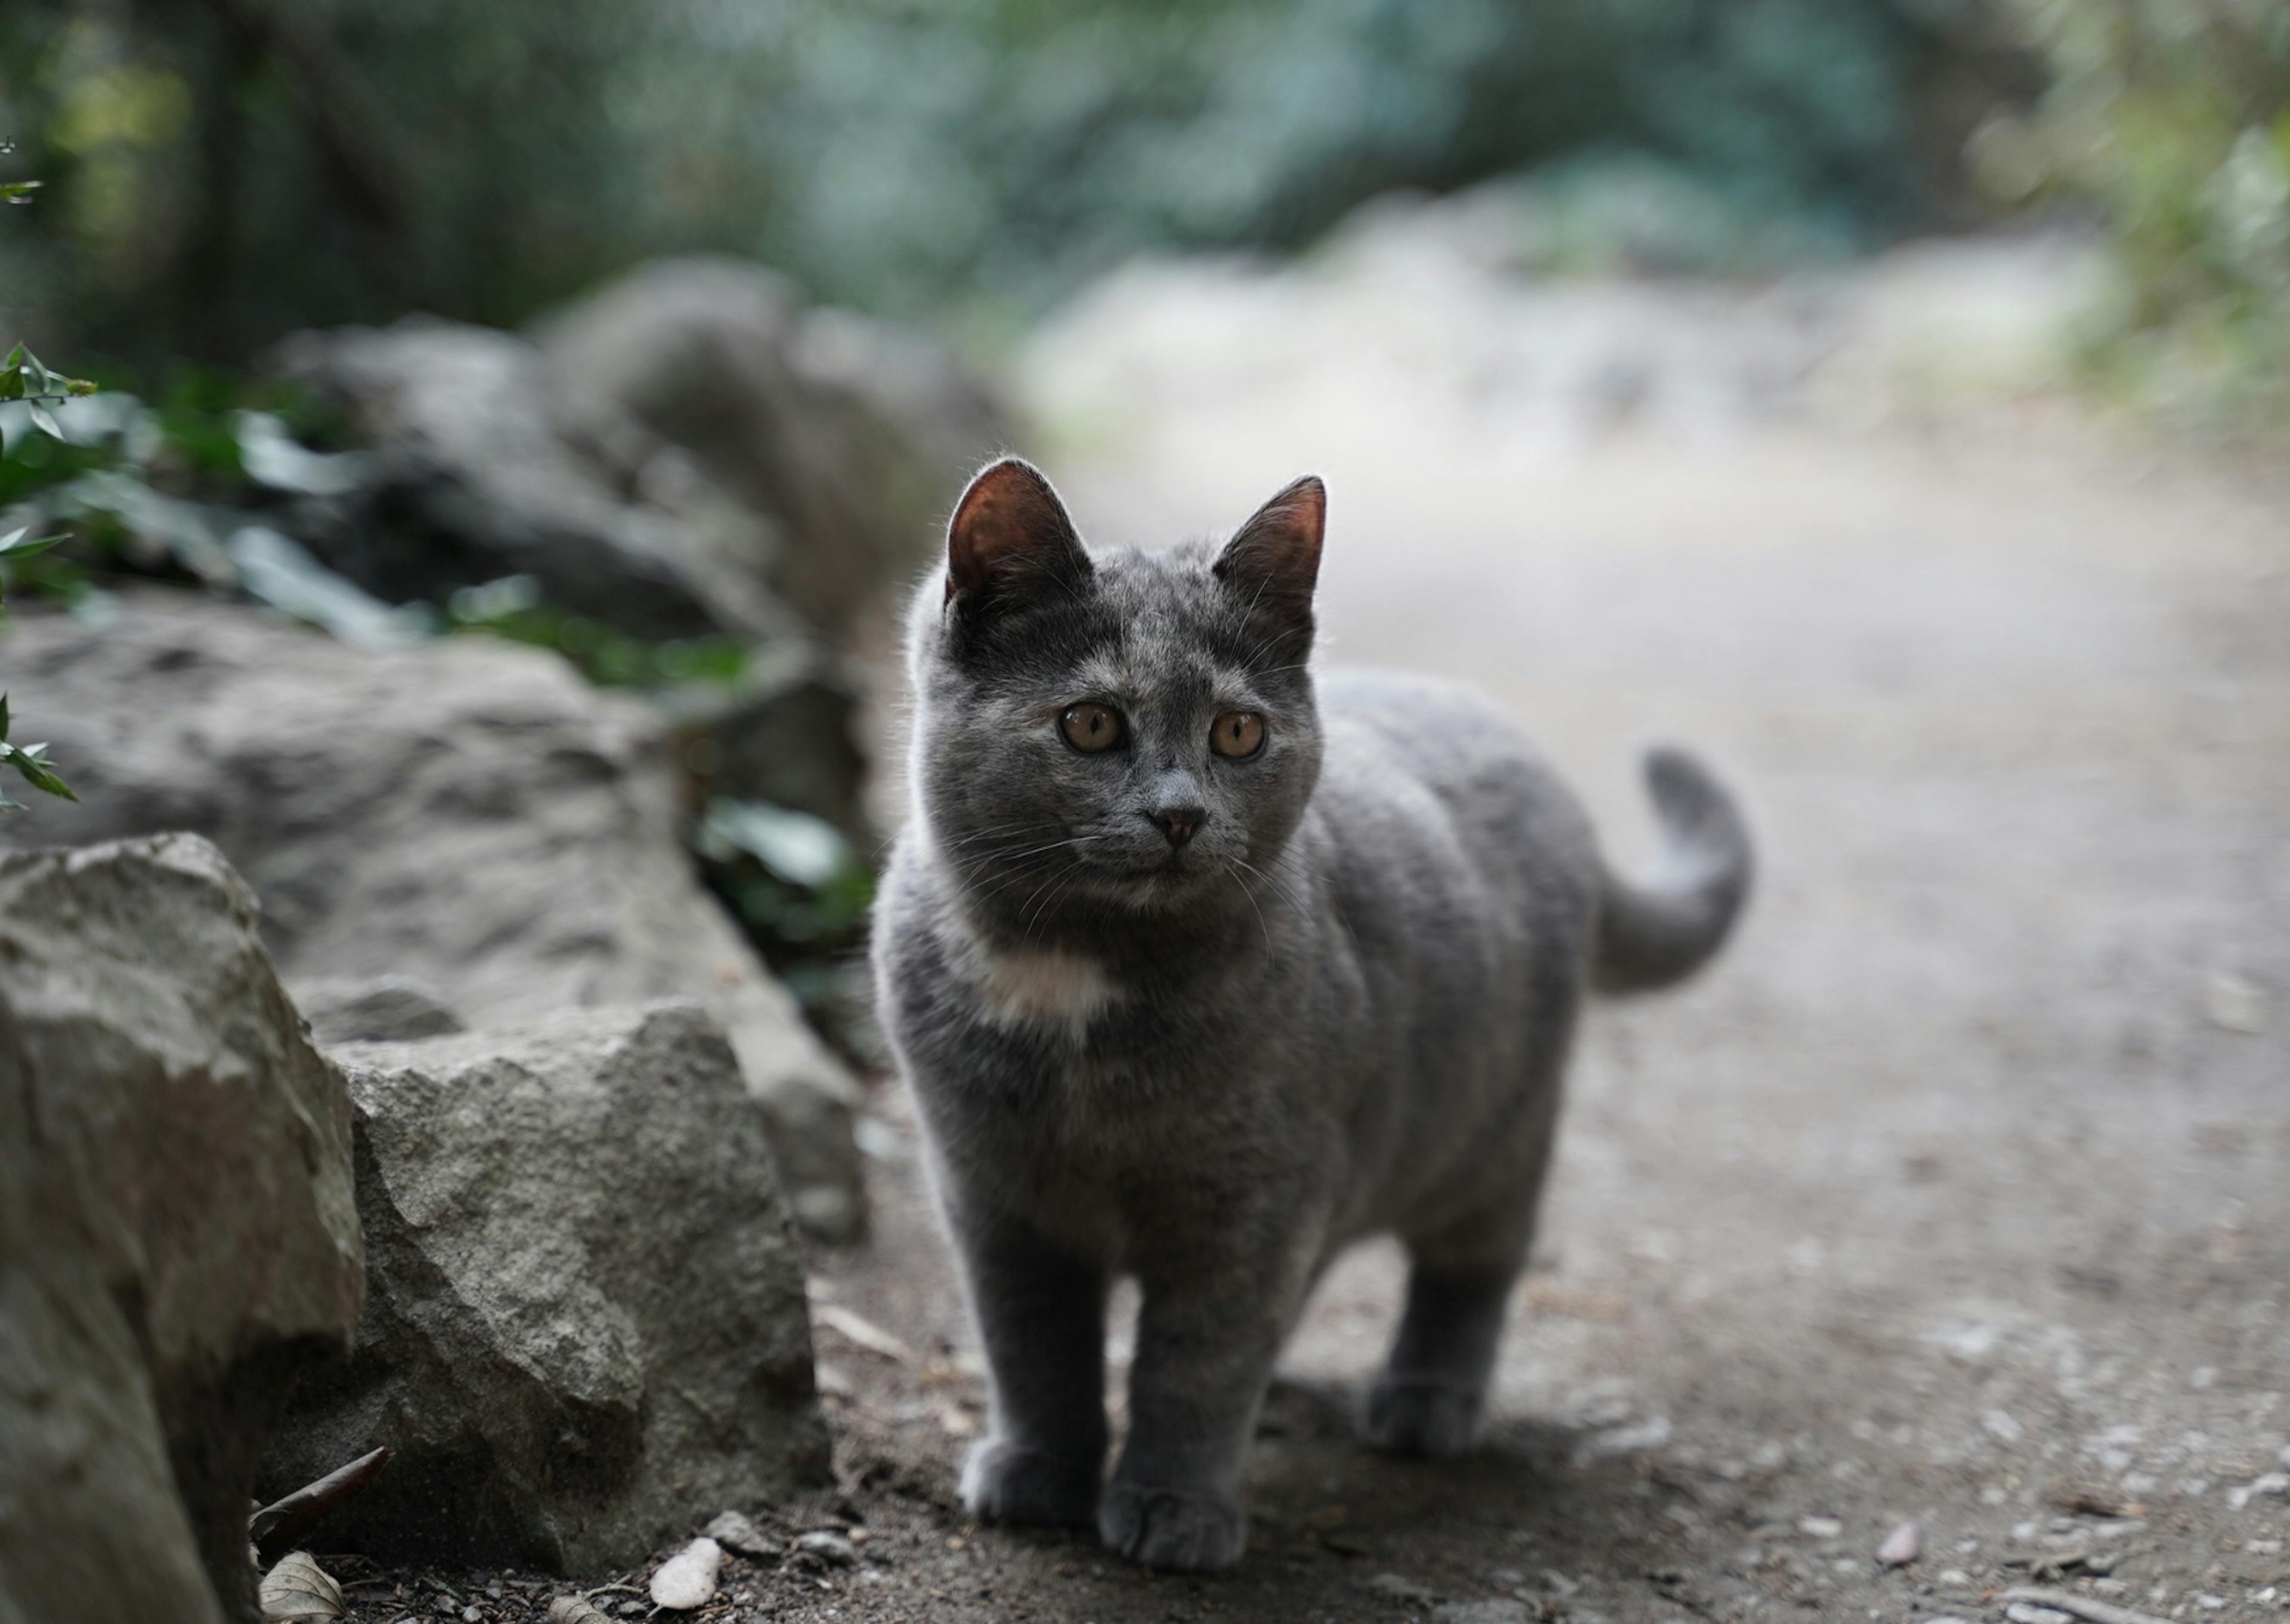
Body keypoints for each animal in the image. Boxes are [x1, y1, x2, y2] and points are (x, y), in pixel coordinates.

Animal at [874, 455, 1749, 1566]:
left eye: (1237, 731)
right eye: (1092, 722)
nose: (1179, 814)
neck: (1075, 976)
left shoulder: (1252, 1198)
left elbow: (1199, 1362)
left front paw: (1172, 1505)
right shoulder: (994, 1192)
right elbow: (1032, 1344)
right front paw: (1040, 1473)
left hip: (1493, 1130)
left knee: (1474, 1263)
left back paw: (1425, 1401)